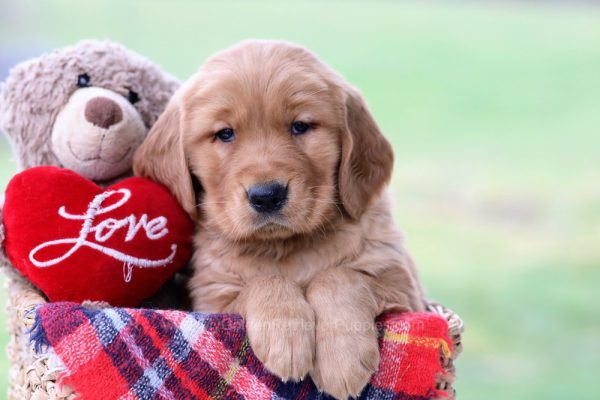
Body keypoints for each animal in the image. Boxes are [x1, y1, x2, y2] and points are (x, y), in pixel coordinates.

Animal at [134, 40, 424, 400]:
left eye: (300, 126)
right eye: (225, 134)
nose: (267, 196)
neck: (285, 247)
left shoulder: (404, 289)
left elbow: (339, 276)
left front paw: (343, 358)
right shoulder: (213, 296)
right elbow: (265, 281)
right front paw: (286, 336)